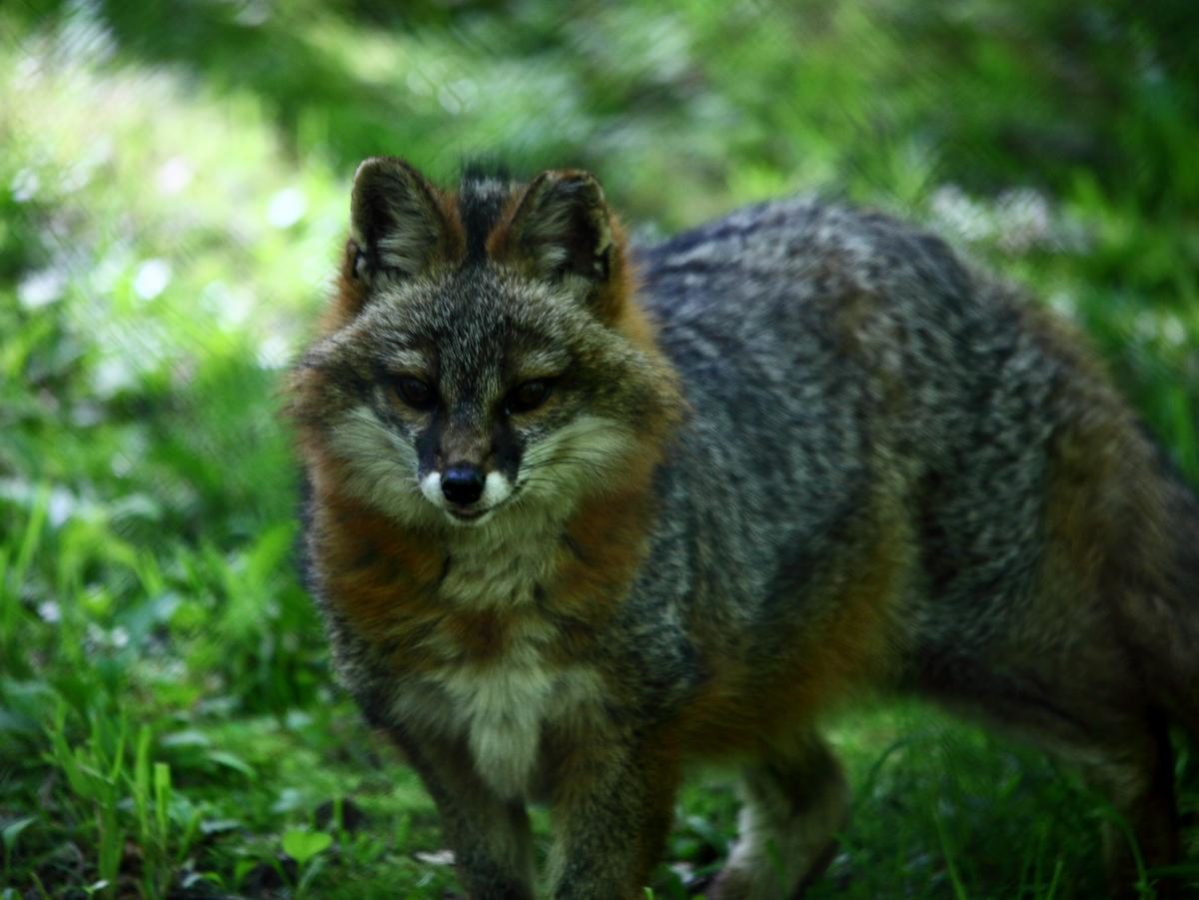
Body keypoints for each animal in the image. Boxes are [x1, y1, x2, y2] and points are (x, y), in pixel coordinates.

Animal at [292, 158, 1199, 896]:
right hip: (755, 685)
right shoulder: (446, 753)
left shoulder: (625, 743)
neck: (490, 607)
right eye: (416, 392)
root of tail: (963, 265)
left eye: (528, 396)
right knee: (820, 796)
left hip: (988, 652)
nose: (460, 485)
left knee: (1139, 744)